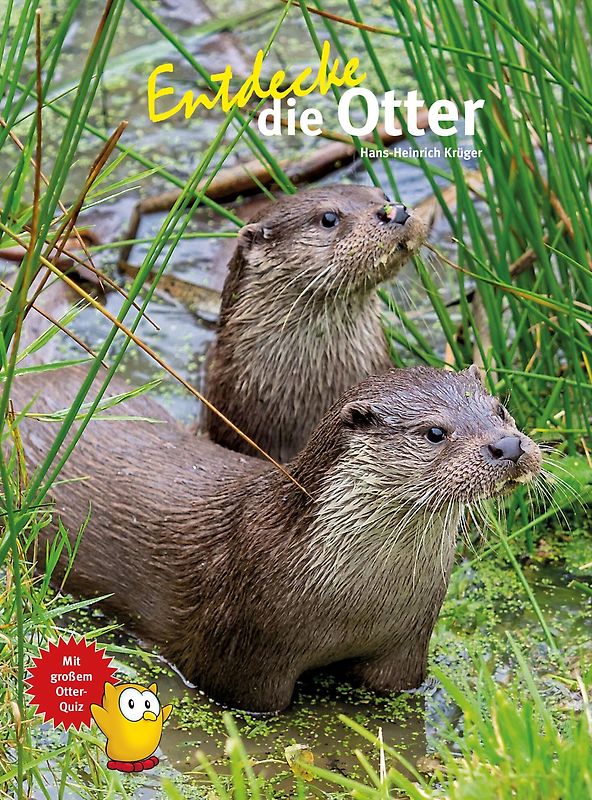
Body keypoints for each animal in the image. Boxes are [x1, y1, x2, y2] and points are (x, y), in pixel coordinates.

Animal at [13, 358, 541, 713]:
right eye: (434, 432)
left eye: (501, 409)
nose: (508, 444)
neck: (358, 601)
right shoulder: (243, 660)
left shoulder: (407, 646)